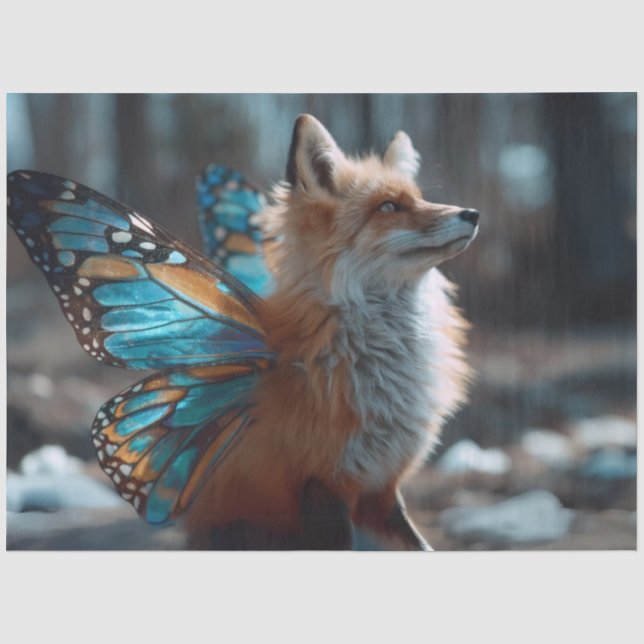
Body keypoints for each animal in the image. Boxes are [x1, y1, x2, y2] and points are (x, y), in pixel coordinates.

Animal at [185, 114, 479, 549]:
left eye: (420, 199)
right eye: (389, 207)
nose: (472, 213)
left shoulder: (382, 486)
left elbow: (421, 545)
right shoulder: (322, 486)